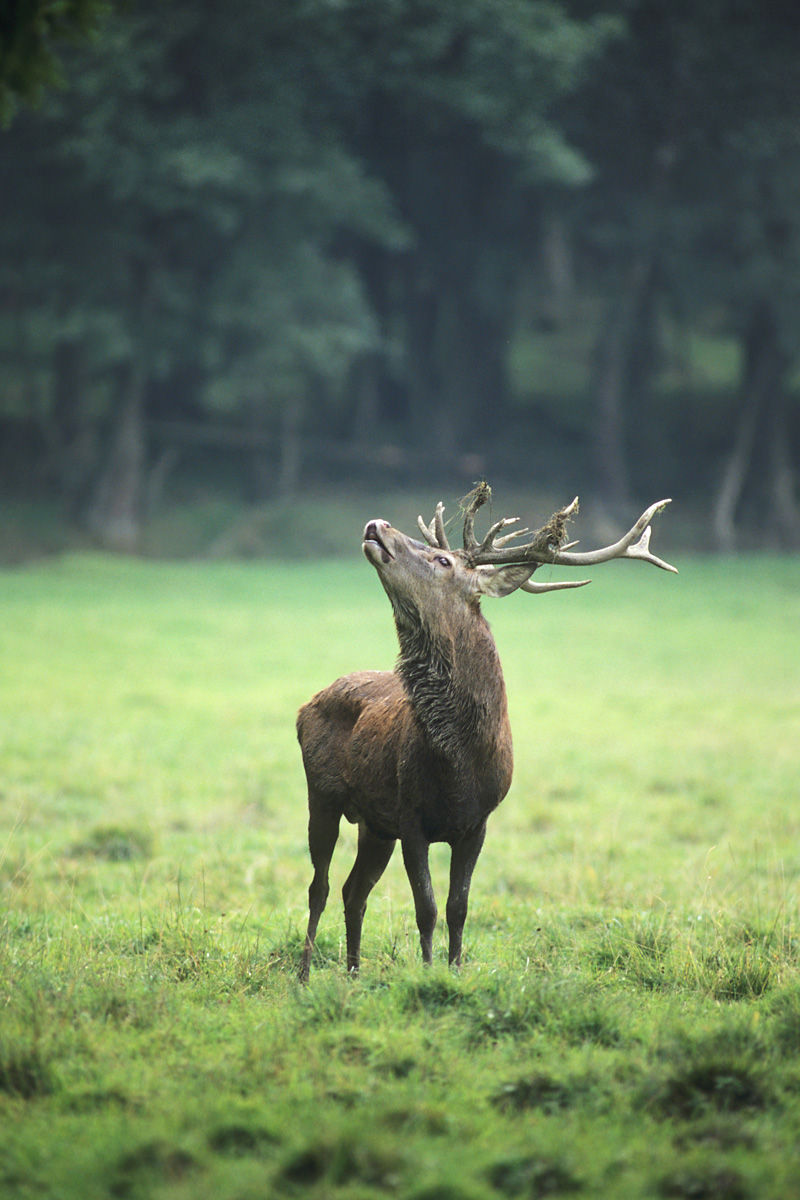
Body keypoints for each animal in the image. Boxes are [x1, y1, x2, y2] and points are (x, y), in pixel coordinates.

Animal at [297, 483, 675, 981]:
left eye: (442, 560)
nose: (377, 525)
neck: (458, 762)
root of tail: (306, 704)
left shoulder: (477, 822)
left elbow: (458, 908)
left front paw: (455, 972)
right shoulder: (411, 817)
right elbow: (426, 909)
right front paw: (429, 972)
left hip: (374, 824)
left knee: (352, 890)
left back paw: (354, 974)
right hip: (322, 794)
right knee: (318, 886)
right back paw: (304, 976)